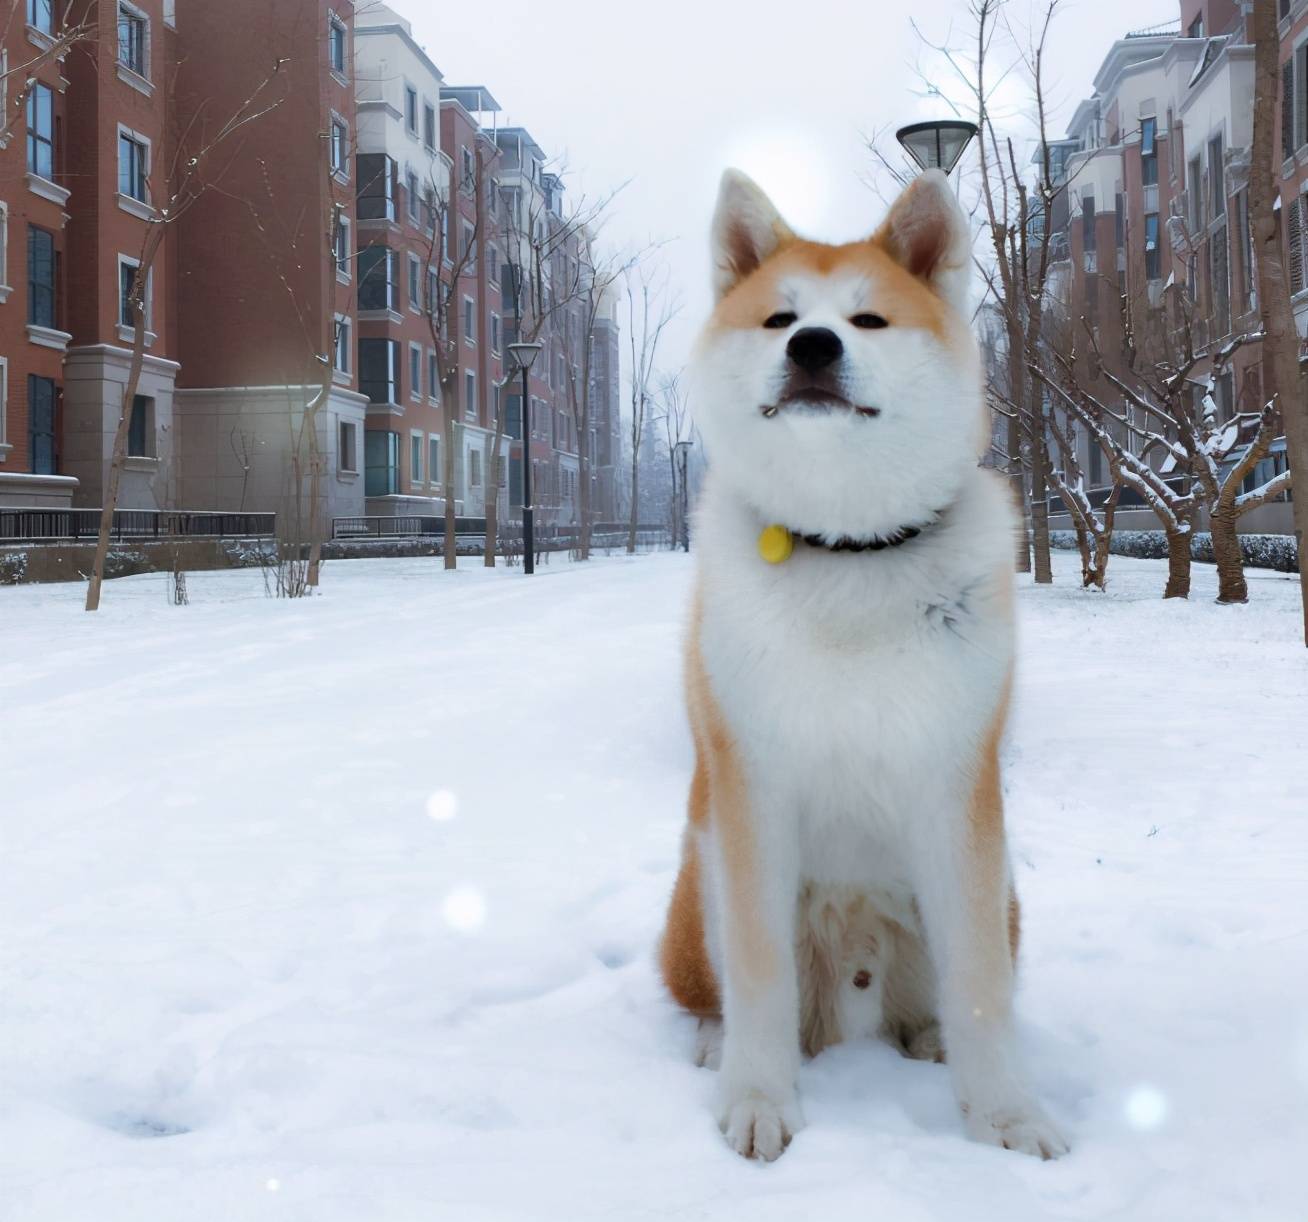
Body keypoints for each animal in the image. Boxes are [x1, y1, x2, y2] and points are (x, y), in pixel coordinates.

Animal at [659, 167, 1067, 1161]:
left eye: (869, 320)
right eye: (779, 317)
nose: (812, 344)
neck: (847, 548)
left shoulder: (956, 789)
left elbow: (980, 986)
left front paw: (1004, 1115)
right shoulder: (752, 786)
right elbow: (759, 973)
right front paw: (758, 1100)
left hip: (1001, 898)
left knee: (946, 993)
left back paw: (926, 1041)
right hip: (699, 878)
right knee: (714, 990)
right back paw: (715, 1044)